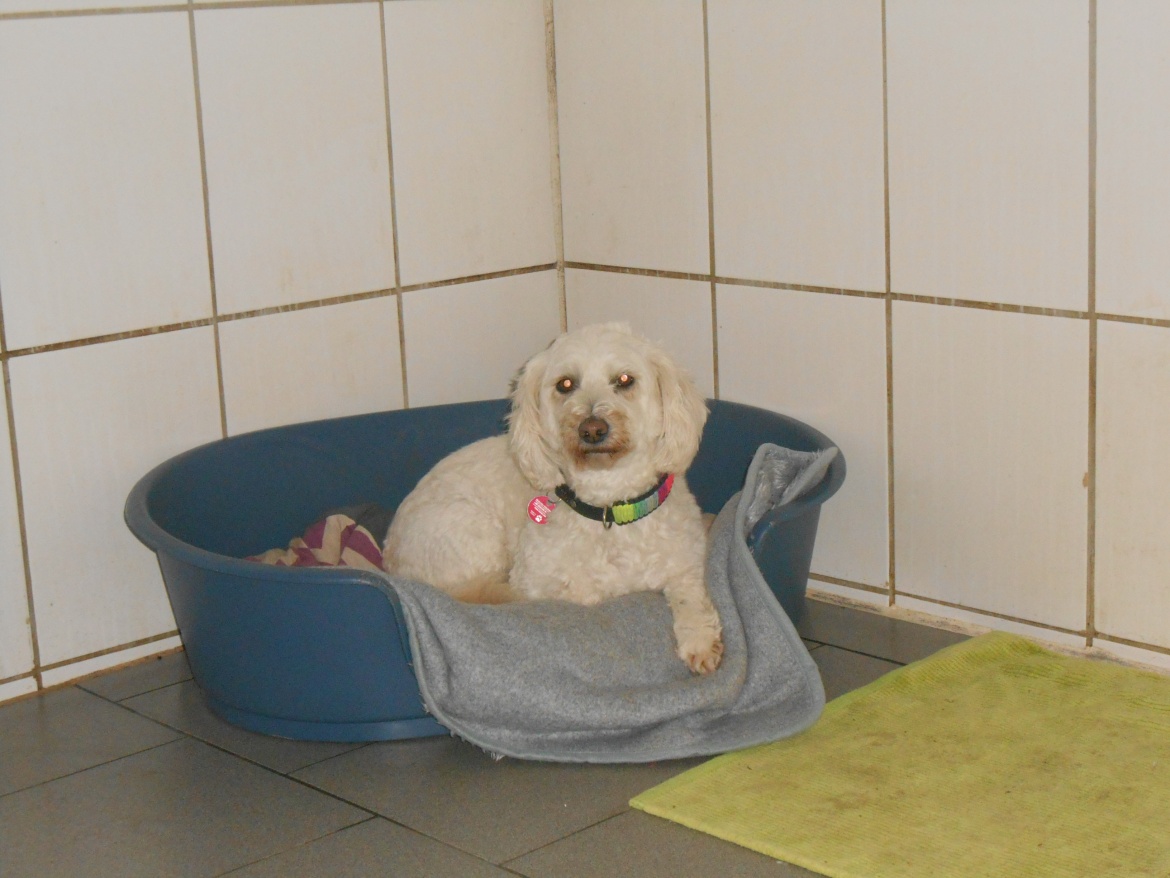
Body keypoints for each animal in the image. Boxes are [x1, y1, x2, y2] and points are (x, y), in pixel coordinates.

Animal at [382, 322, 723, 674]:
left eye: (625, 379)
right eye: (565, 384)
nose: (591, 428)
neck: (610, 509)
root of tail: (390, 557)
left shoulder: (687, 560)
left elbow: (690, 594)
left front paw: (700, 641)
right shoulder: (535, 581)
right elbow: (581, 592)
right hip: (473, 531)